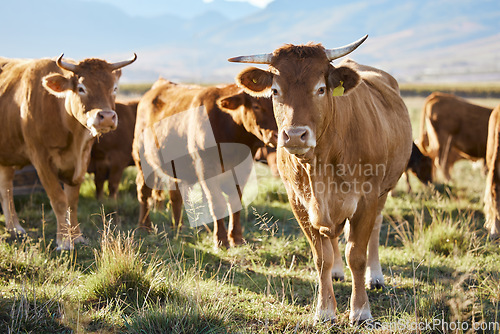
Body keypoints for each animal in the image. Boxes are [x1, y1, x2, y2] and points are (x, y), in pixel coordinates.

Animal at [0, 53, 137, 249]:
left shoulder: (82, 160)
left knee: (6, 189)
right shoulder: (41, 160)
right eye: (81, 88)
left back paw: (15, 228)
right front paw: (64, 240)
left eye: (114, 88)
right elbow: (58, 199)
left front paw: (77, 236)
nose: (107, 117)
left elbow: (72, 201)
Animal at [133, 79, 278, 248]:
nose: (277, 135)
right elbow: (217, 203)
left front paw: (236, 238)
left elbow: (235, 203)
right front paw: (221, 240)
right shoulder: (206, 168)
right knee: (144, 192)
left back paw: (179, 228)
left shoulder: (243, 170)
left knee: (176, 196)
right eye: (256, 106)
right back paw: (145, 226)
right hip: (142, 161)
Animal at [229, 36, 412, 324]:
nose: (294, 135)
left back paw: (375, 277)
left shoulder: (367, 198)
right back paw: (337, 272)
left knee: (374, 231)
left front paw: (361, 311)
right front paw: (325, 310)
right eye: (275, 91)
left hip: (383, 193)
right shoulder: (299, 203)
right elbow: (321, 258)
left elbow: (356, 255)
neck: (320, 166)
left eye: (321, 89)